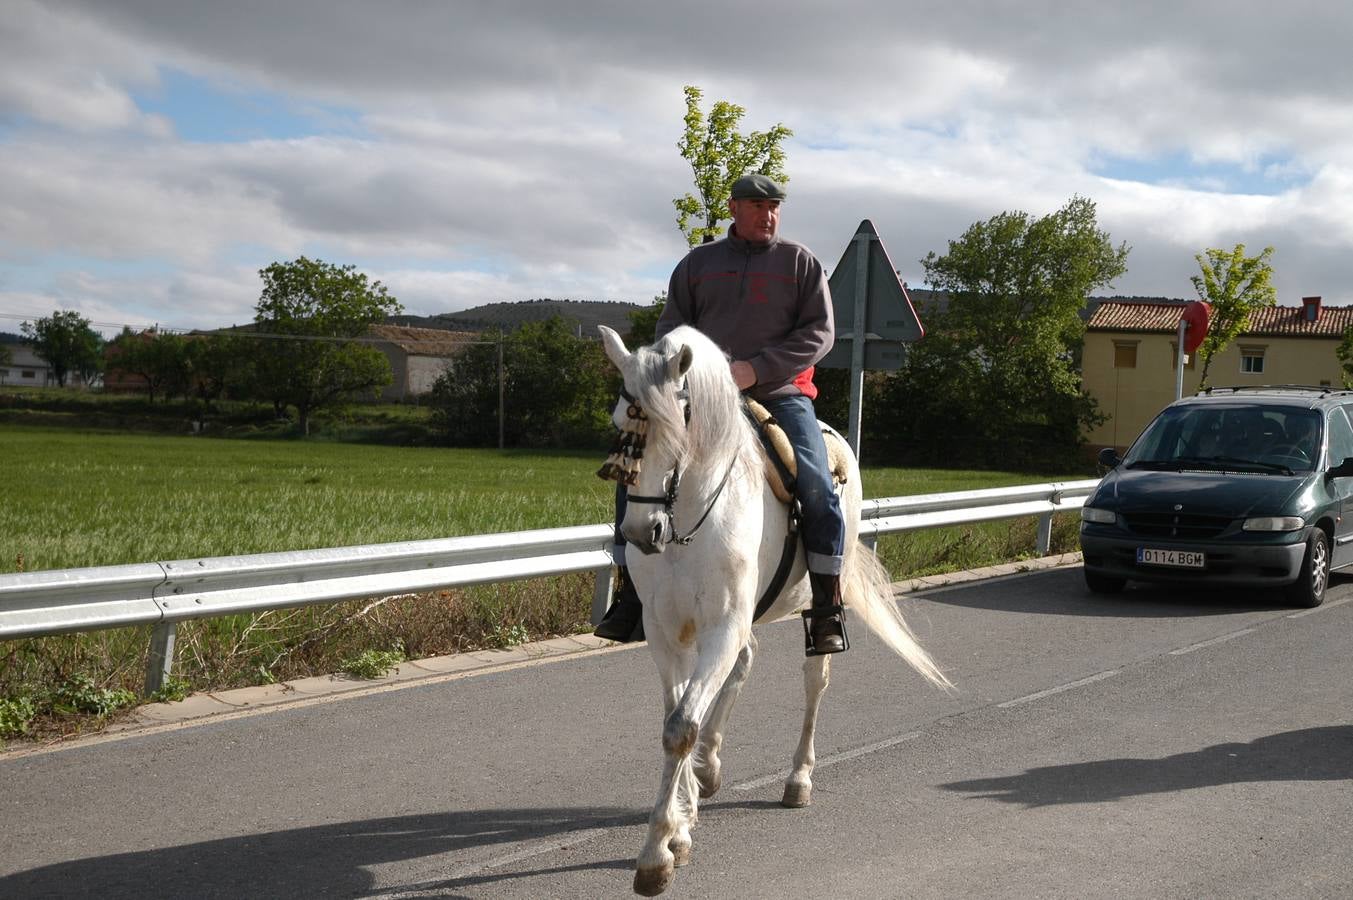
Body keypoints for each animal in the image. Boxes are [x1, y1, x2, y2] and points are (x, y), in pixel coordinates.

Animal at [598, 320, 957, 893]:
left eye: (678, 424)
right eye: (619, 424)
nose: (639, 532)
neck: (692, 517)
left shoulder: (721, 626)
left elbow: (680, 727)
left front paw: (656, 853)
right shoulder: (664, 631)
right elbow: (676, 717)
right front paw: (682, 823)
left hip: (813, 612)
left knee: (814, 682)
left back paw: (797, 778)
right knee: (744, 664)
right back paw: (709, 770)